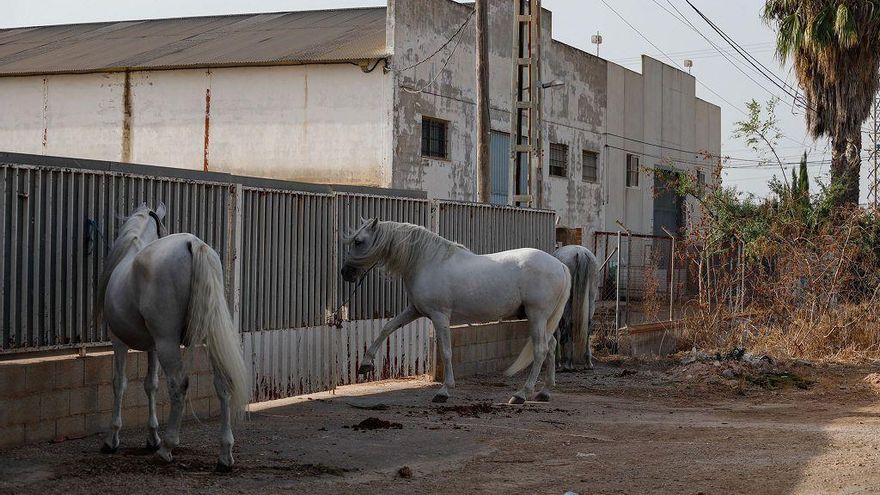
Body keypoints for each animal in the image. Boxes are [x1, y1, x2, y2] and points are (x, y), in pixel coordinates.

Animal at [99, 204, 248, 472]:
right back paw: (224, 455)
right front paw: (151, 437)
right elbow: (151, 384)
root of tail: (193, 244)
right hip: (207, 339)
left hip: (168, 342)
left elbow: (119, 383)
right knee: (222, 384)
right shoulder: (152, 347)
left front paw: (113, 439)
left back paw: (168, 448)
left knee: (179, 386)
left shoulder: (119, 341)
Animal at [340, 219, 568, 404]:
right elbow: (387, 328)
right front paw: (365, 364)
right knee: (551, 346)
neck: (428, 262)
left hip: (536, 316)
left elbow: (446, 351)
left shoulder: (440, 316)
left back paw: (521, 394)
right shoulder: (415, 311)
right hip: (540, 319)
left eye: (358, 241)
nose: (345, 273)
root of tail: (560, 265)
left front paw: (444, 391)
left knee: (540, 350)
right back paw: (544, 392)